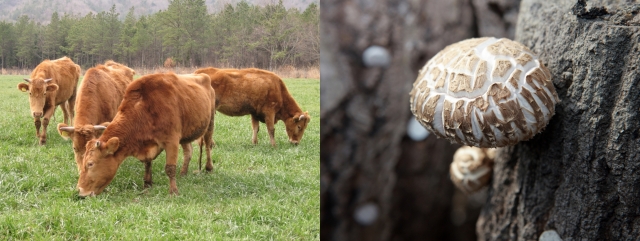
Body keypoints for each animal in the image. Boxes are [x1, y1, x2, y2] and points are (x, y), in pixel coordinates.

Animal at [76, 72, 216, 197]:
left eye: (90, 163)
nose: (80, 192)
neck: (144, 109)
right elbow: (148, 163)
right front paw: (147, 183)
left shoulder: (172, 141)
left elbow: (170, 168)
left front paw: (173, 192)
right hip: (186, 134)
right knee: (189, 151)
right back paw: (183, 173)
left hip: (210, 123)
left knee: (208, 146)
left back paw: (209, 168)